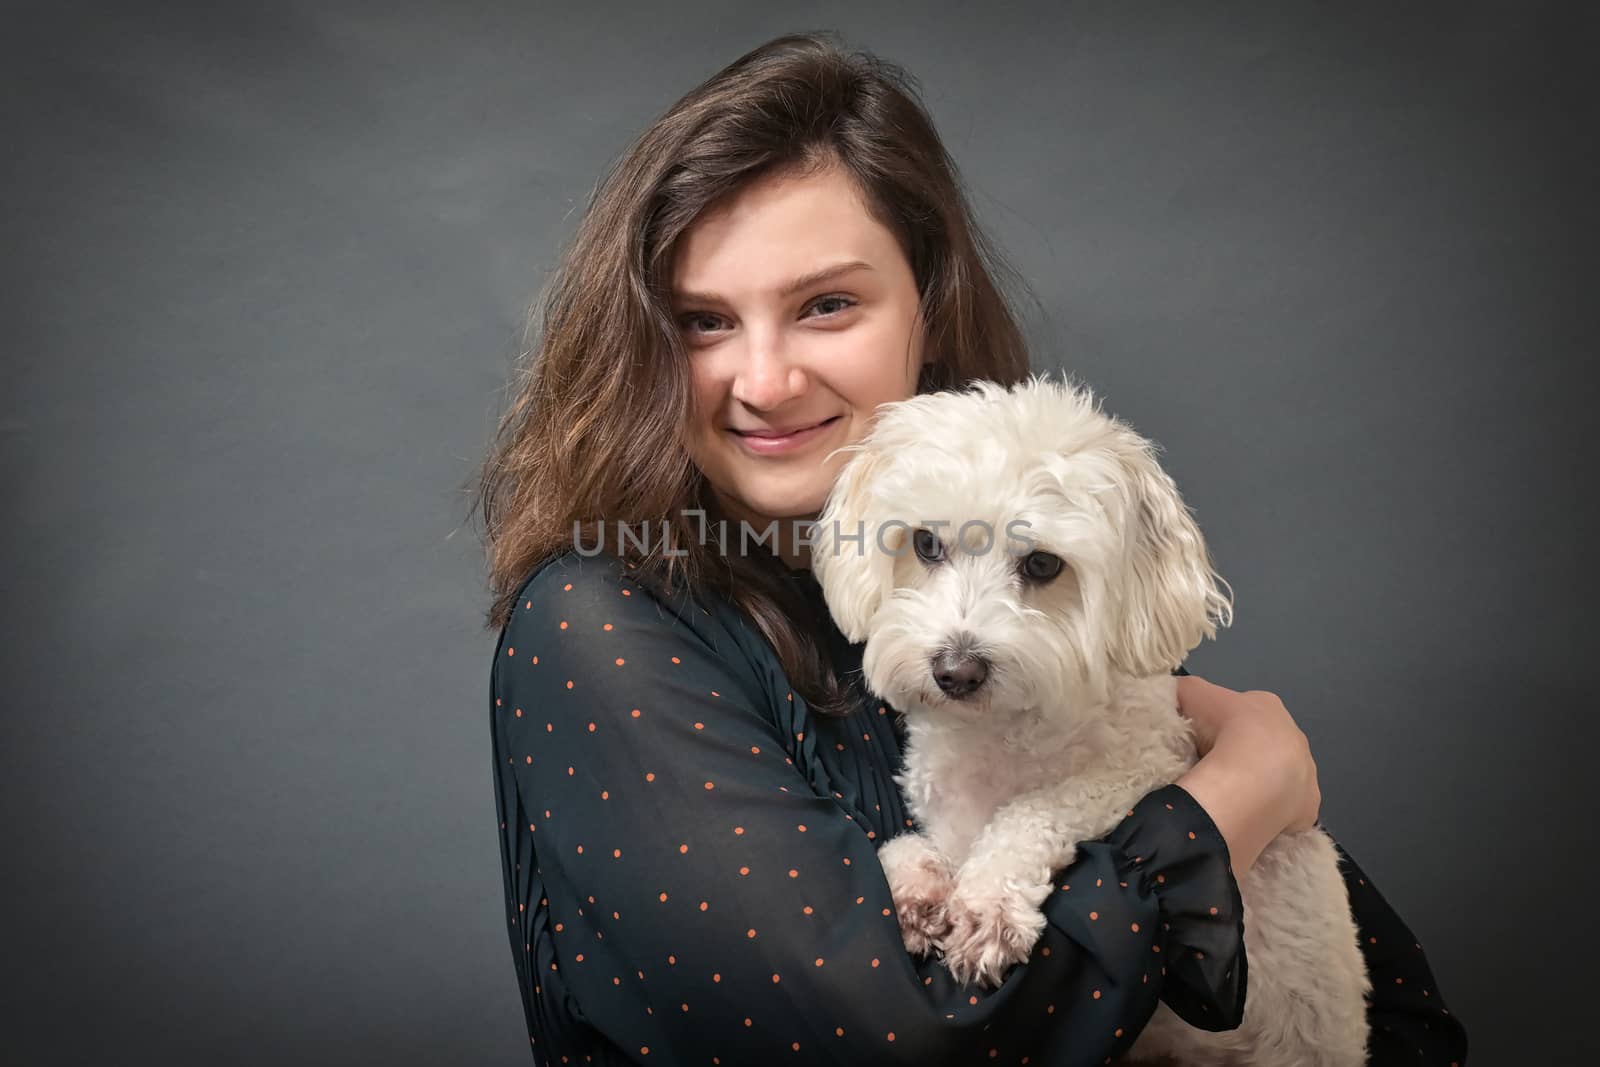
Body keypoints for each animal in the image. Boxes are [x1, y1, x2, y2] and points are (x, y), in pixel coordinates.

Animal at [812, 375, 1376, 1067]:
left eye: (1042, 565)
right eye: (924, 544)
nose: (956, 671)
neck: (1000, 735)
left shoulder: (1147, 765)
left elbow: (1036, 810)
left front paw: (987, 904)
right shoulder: (946, 817)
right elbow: (906, 846)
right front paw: (918, 890)